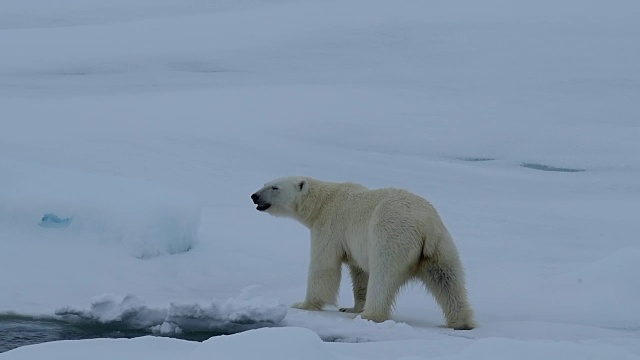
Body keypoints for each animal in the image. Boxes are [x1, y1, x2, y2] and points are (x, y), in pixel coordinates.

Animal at [250, 176, 476, 330]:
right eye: (265, 183)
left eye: (274, 187)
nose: (254, 196)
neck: (325, 201)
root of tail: (426, 225)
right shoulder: (355, 243)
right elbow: (359, 272)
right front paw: (352, 307)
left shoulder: (330, 227)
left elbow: (324, 266)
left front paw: (304, 304)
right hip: (441, 246)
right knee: (447, 279)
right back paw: (461, 322)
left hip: (391, 236)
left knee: (383, 276)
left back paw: (370, 315)